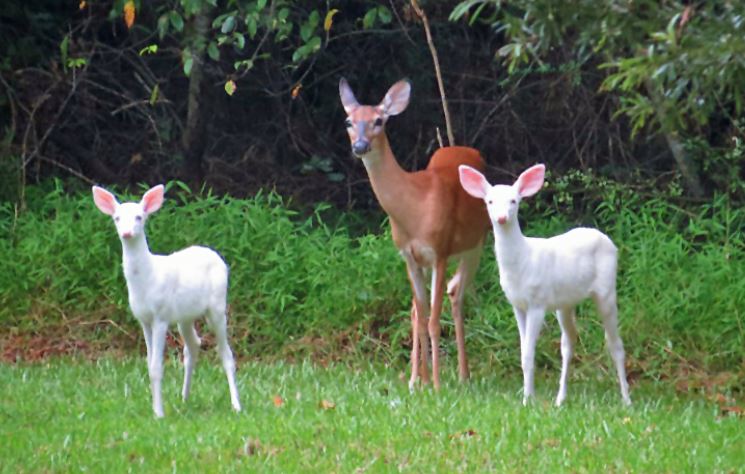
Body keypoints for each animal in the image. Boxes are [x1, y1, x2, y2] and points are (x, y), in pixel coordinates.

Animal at [89, 185, 241, 418]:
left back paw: (236, 405)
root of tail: (216, 256)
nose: (127, 233)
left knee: (226, 354)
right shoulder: (143, 319)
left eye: (139, 216)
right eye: (117, 218)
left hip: (217, 306)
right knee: (193, 345)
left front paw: (159, 414)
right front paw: (156, 409)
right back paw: (184, 398)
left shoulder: (160, 316)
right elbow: (149, 364)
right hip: (184, 316)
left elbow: (156, 367)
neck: (147, 279)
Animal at [338, 77, 488, 388]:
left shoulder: (439, 250)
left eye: (379, 120)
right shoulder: (408, 256)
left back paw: (463, 375)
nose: (360, 145)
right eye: (348, 121)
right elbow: (421, 314)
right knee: (424, 305)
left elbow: (433, 319)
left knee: (457, 294)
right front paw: (420, 382)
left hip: (477, 242)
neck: (414, 207)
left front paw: (437, 384)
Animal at [456, 164, 632, 408]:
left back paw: (627, 399)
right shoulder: (517, 305)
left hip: (606, 290)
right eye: (489, 201)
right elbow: (524, 353)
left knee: (615, 344)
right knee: (569, 342)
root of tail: (607, 240)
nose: (501, 218)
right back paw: (560, 399)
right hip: (564, 303)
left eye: (514, 200)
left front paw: (527, 400)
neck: (521, 263)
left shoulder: (537, 303)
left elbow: (529, 354)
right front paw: (528, 395)